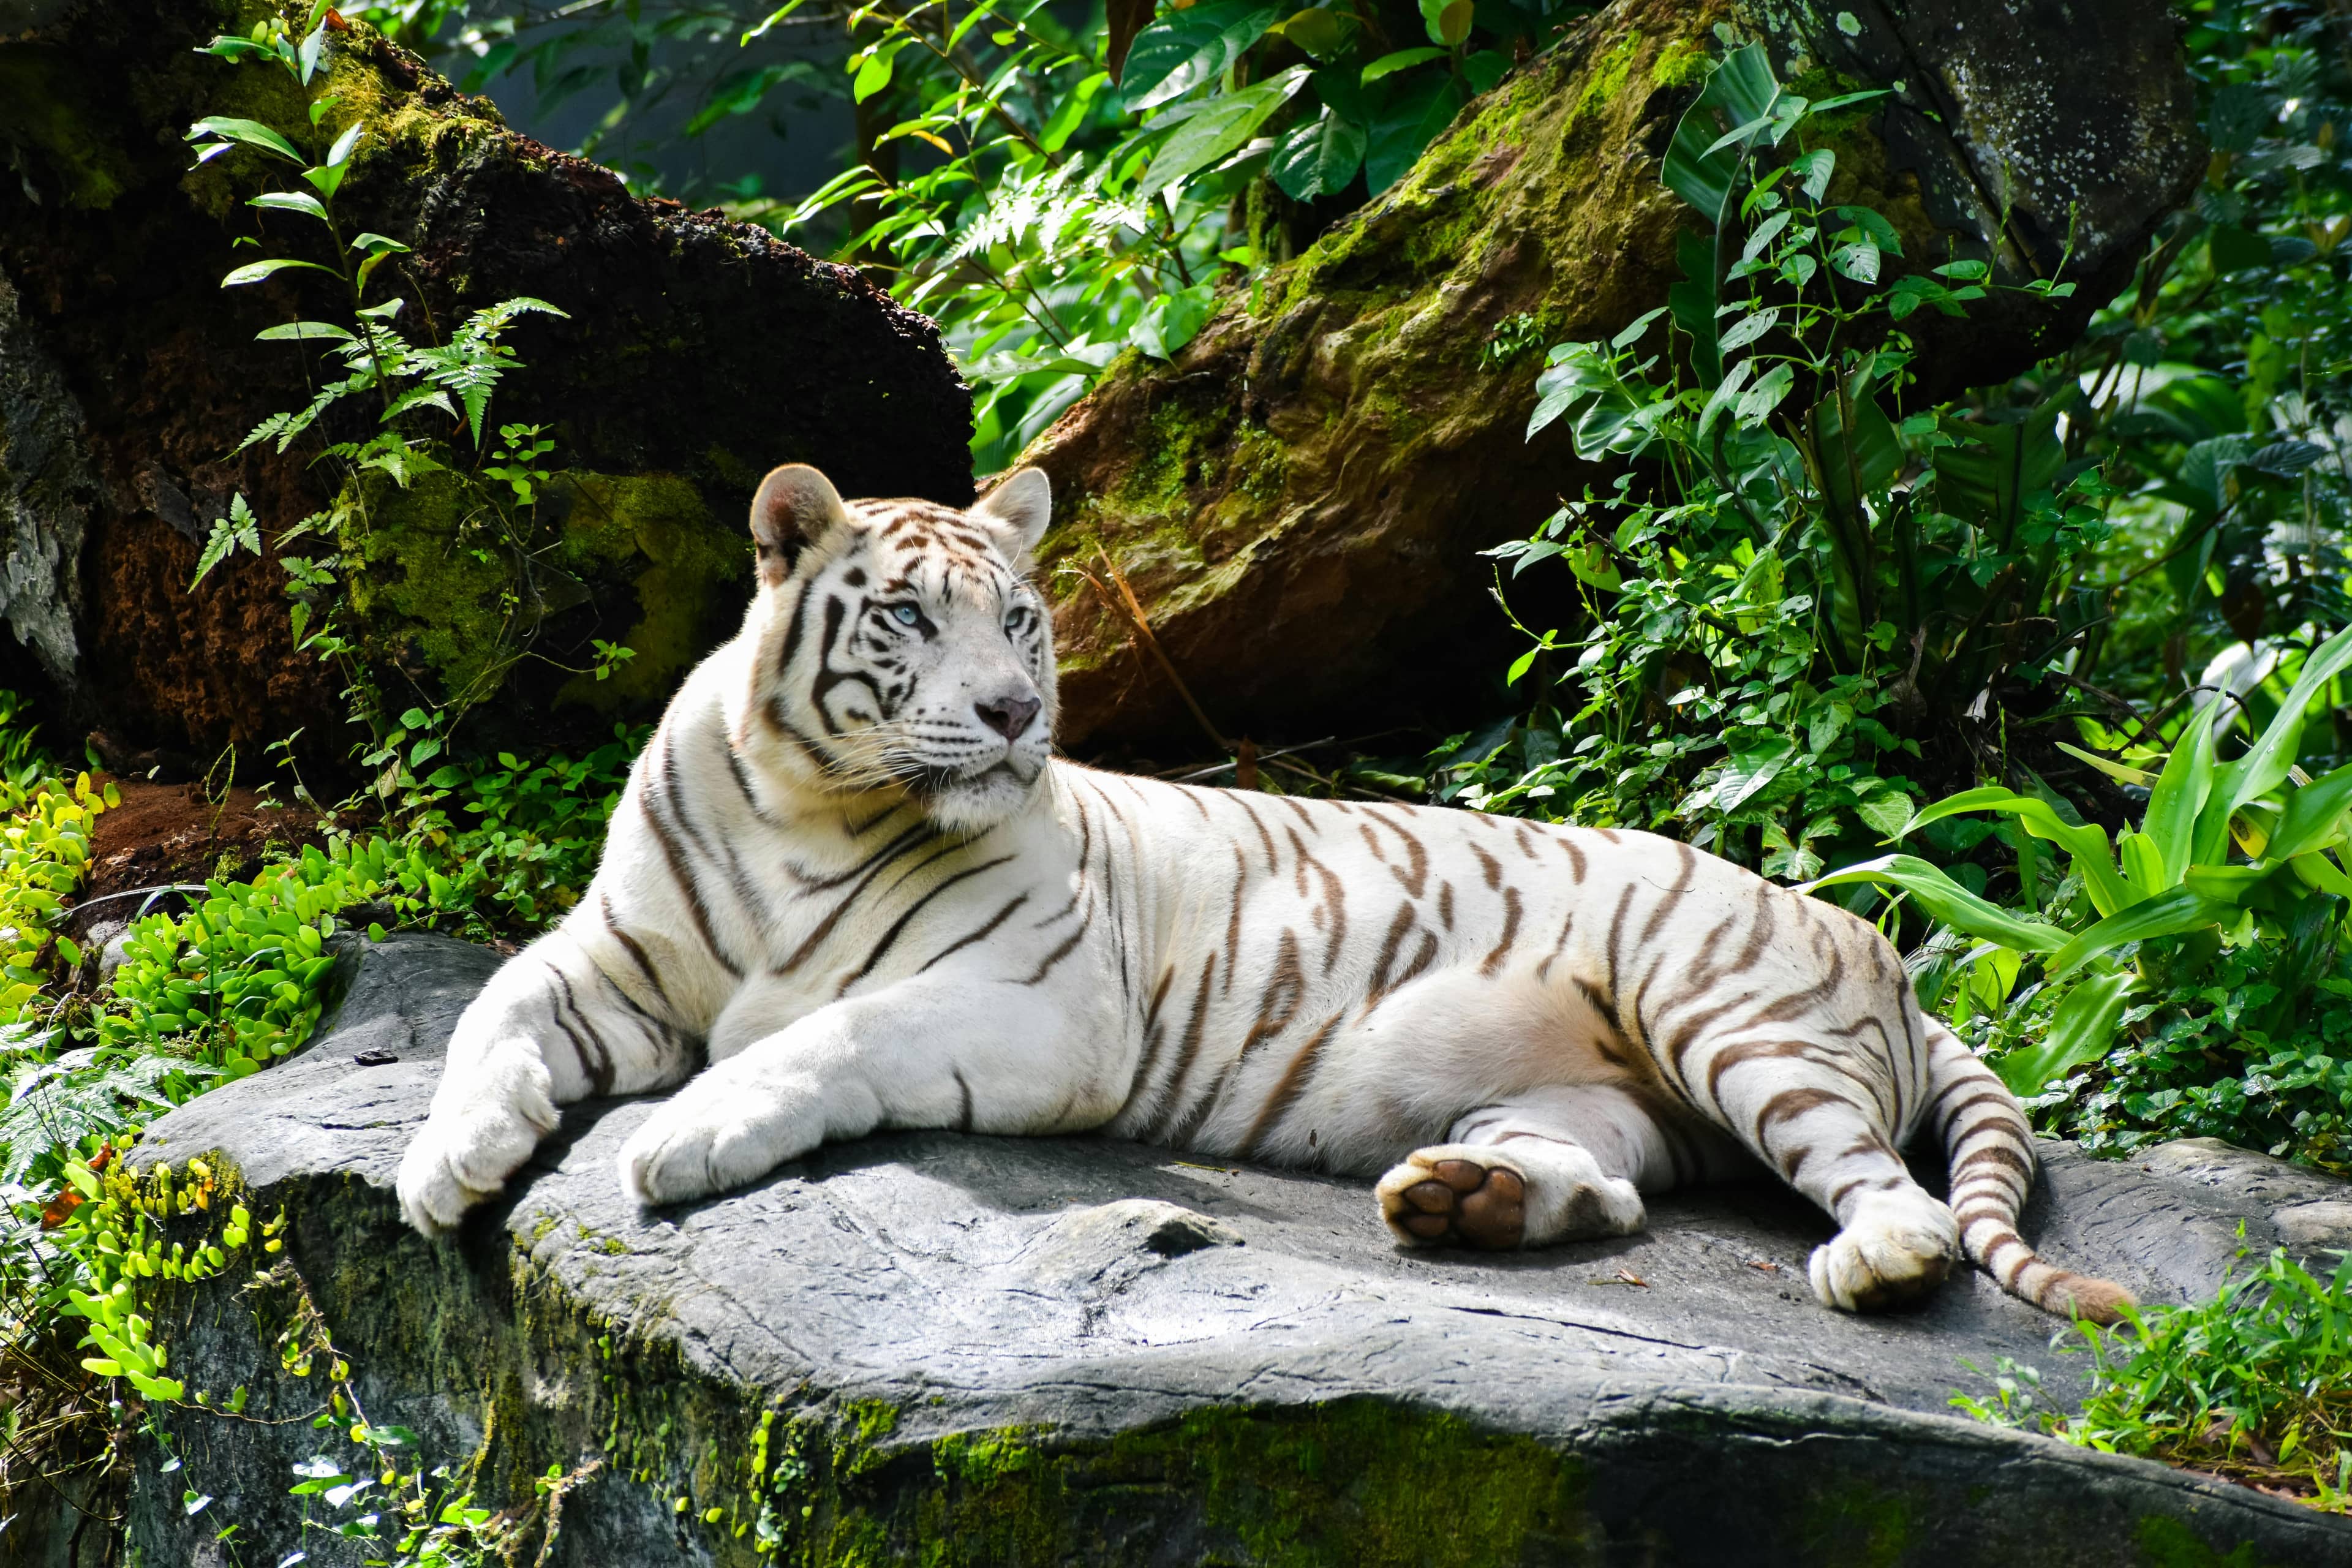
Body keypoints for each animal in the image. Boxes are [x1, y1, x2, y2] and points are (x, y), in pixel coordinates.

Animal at [395, 461, 2132, 1323]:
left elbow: (827, 1036)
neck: (806, 803)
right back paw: (1458, 1201)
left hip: (1725, 1013)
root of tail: (1883, 949)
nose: (1014, 714)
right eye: (907, 618)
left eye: (1019, 620)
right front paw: (442, 1167)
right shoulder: (614, 952)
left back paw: (1870, 1266)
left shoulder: (1040, 1007)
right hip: (1587, 1097)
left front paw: (678, 1138)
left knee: (1897, 1195)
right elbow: (489, 1016)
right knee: (1618, 1186)